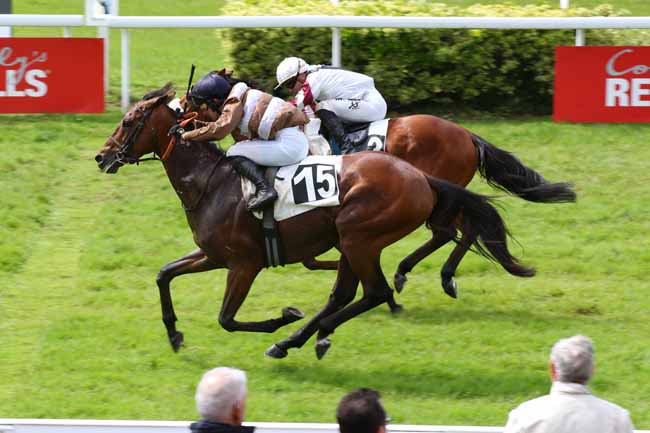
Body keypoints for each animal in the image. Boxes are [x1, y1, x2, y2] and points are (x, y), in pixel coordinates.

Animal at [95, 83, 532, 358]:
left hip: (359, 236)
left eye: (130, 121)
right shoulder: (213, 254)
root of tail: (419, 176)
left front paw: (282, 317)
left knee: (379, 284)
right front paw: (174, 334)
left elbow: (227, 319)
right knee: (350, 290)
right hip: (358, 238)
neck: (212, 183)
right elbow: (164, 275)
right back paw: (306, 337)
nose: (102, 156)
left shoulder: (244, 263)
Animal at [185, 71, 576, 308]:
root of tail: (466, 134)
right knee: (460, 227)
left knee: (455, 228)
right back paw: (428, 274)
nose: (184, 114)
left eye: (195, 99)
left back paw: (429, 275)